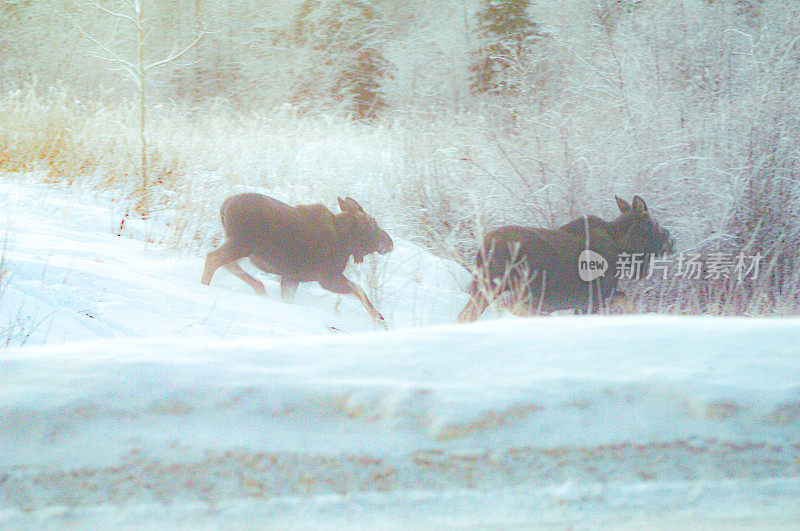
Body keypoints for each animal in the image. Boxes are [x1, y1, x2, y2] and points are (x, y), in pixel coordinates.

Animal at [202, 194, 392, 326]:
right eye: (374, 224)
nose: (390, 242)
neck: (346, 242)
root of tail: (224, 206)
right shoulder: (327, 278)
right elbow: (359, 290)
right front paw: (380, 320)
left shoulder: (292, 278)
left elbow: (287, 299)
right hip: (242, 243)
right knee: (213, 258)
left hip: (242, 247)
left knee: (228, 264)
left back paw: (260, 289)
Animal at [456, 194, 676, 320]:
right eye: (654, 223)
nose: (671, 240)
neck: (625, 251)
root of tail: (483, 246)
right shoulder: (593, 299)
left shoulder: (599, 297)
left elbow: (627, 301)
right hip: (518, 288)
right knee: (512, 309)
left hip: (483, 286)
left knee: (465, 315)